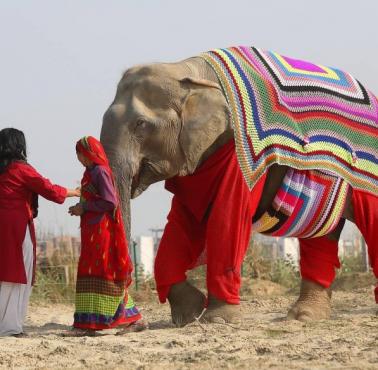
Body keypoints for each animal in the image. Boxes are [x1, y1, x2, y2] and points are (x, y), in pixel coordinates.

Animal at [100, 46, 378, 326]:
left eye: (141, 124)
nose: (133, 324)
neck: (186, 70)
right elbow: (182, 220)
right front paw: (189, 315)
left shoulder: (240, 152)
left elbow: (227, 215)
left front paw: (217, 319)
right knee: (320, 235)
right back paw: (305, 316)